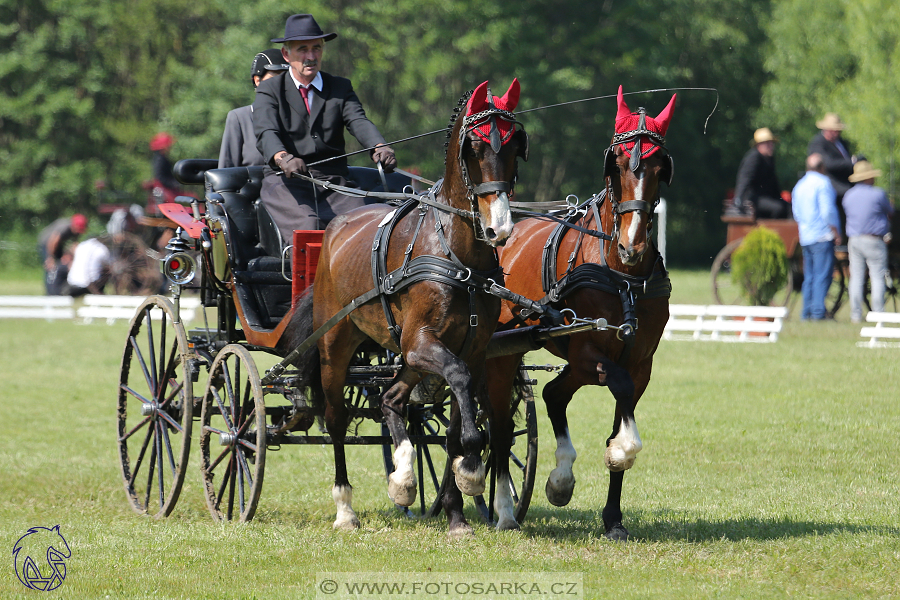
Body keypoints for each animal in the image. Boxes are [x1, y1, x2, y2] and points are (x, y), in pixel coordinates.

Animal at [284, 78, 528, 536]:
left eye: (515, 145)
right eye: (474, 147)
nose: (500, 228)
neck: (457, 256)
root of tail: (334, 229)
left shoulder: (470, 349)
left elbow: (454, 426)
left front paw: (456, 512)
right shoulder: (423, 343)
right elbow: (459, 384)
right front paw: (472, 469)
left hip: (406, 355)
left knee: (392, 400)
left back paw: (403, 478)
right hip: (337, 346)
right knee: (337, 418)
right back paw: (346, 509)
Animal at [486, 85, 676, 540]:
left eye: (659, 167)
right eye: (618, 164)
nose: (632, 245)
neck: (622, 275)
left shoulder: (639, 361)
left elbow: (621, 407)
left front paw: (612, 516)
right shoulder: (590, 350)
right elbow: (619, 393)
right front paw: (620, 451)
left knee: (551, 395)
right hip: (501, 355)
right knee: (498, 428)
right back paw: (501, 508)